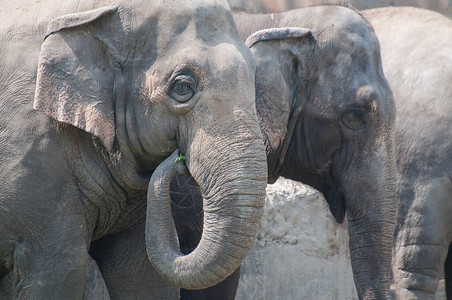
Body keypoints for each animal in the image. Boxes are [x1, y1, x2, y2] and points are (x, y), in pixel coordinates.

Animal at [0, 0, 268, 298]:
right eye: (183, 87)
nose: (178, 159)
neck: (95, 12)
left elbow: (142, 274)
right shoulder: (34, 156)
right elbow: (59, 273)